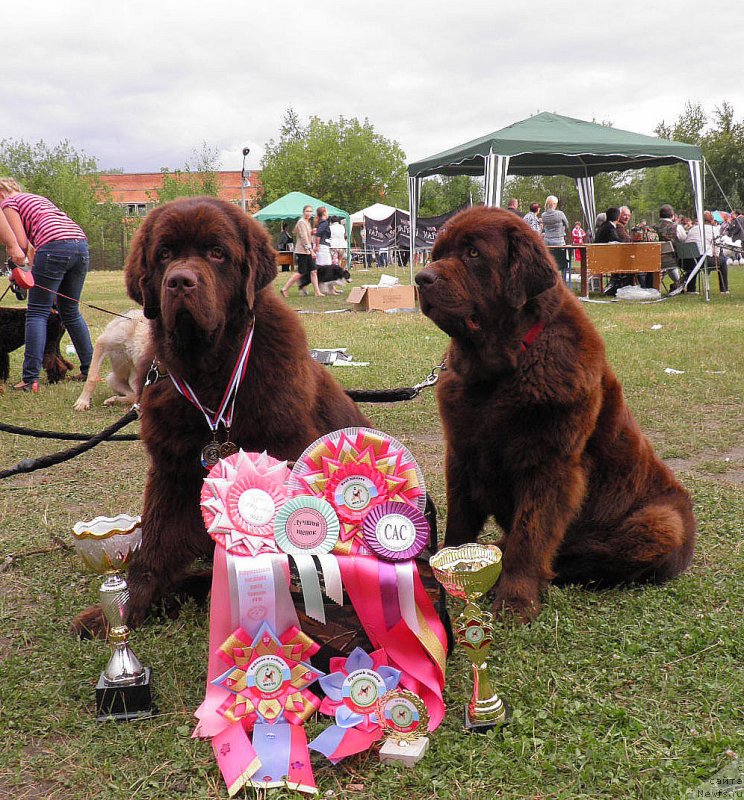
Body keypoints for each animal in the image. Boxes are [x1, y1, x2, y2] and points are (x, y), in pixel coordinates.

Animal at [72, 197, 370, 636]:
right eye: (164, 254)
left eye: (217, 252)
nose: (180, 282)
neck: (209, 371)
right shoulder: (172, 467)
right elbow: (152, 547)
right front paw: (122, 612)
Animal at [416, 208, 696, 624]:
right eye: (437, 254)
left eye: (473, 253)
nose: (422, 278)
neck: (503, 370)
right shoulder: (462, 453)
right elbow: (460, 522)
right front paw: (447, 579)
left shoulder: (549, 464)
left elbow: (530, 536)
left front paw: (515, 600)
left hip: (662, 522)